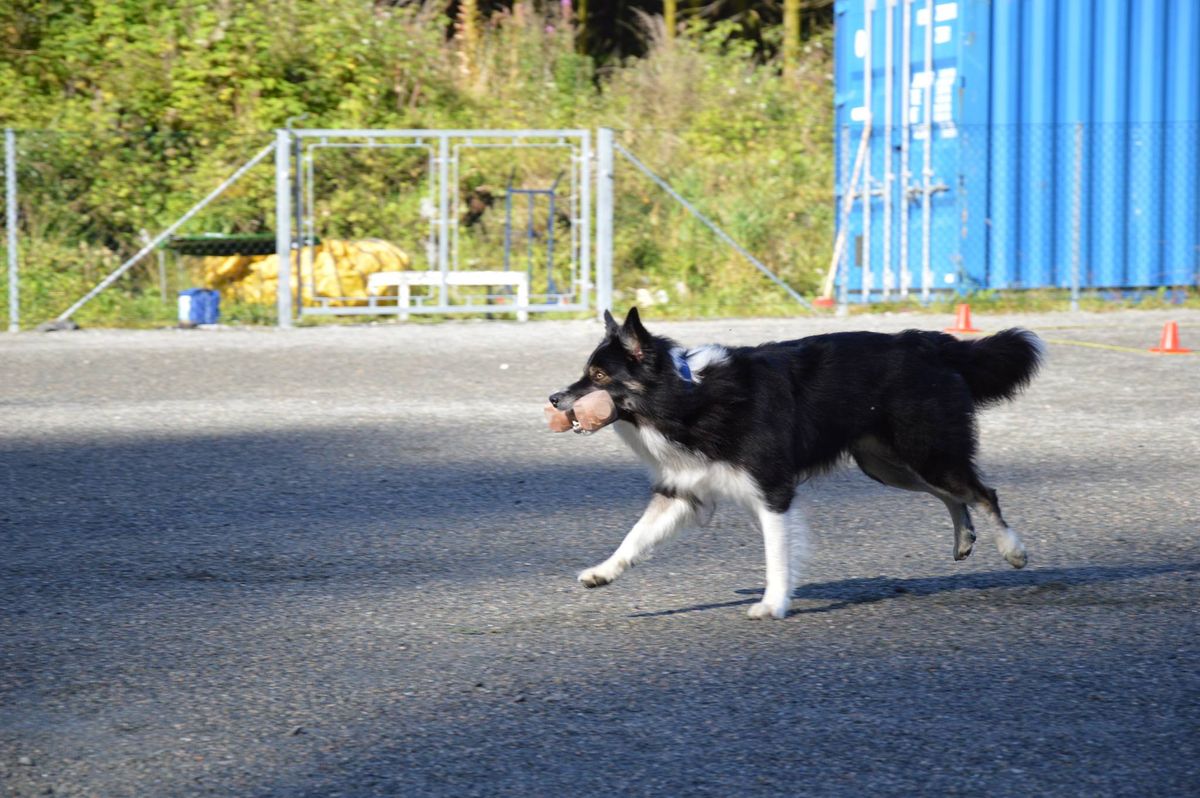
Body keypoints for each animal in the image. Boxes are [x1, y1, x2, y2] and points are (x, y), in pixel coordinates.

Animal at [547, 307, 1041, 619]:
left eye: (597, 376)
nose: (553, 398)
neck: (686, 396)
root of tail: (930, 343)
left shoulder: (772, 490)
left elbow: (777, 554)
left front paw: (774, 604)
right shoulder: (683, 491)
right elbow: (634, 537)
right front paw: (602, 572)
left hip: (925, 449)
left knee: (982, 492)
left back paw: (1012, 549)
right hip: (887, 464)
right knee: (954, 496)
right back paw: (964, 538)